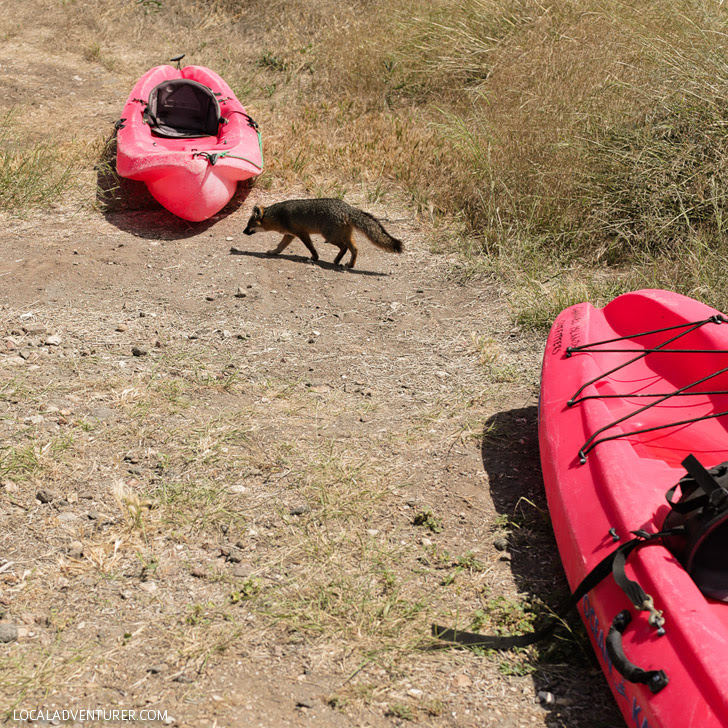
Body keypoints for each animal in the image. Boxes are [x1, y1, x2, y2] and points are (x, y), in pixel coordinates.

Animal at [245, 198, 404, 268]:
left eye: (248, 225)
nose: (243, 231)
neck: (278, 216)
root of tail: (347, 207)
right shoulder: (290, 235)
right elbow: (280, 246)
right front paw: (273, 252)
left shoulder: (302, 233)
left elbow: (311, 247)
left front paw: (314, 258)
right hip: (343, 236)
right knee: (354, 248)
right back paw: (348, 264)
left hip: (329, 236)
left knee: (345, 247)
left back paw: (338, 261)